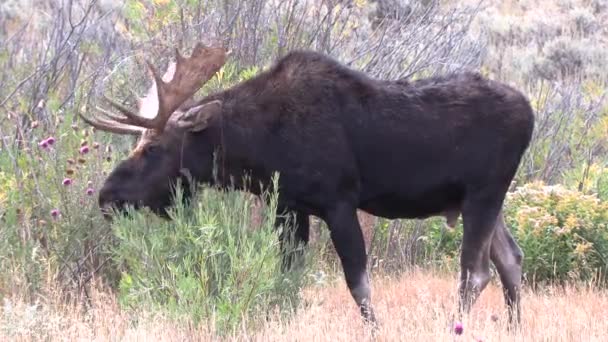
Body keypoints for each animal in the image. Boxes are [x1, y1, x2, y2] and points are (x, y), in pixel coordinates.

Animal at [78, 41, 536, 328]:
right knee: (510, 258)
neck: (258, 147)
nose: (107, 195)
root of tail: (530, 113)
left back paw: (454, 326)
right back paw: (514, 329)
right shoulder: (289, 206)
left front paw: (376, 329)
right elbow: (286, 276)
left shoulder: (339, 202)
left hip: (484, 194)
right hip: (480, 201)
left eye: (154, 147)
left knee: (476, 272)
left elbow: (358, 283)